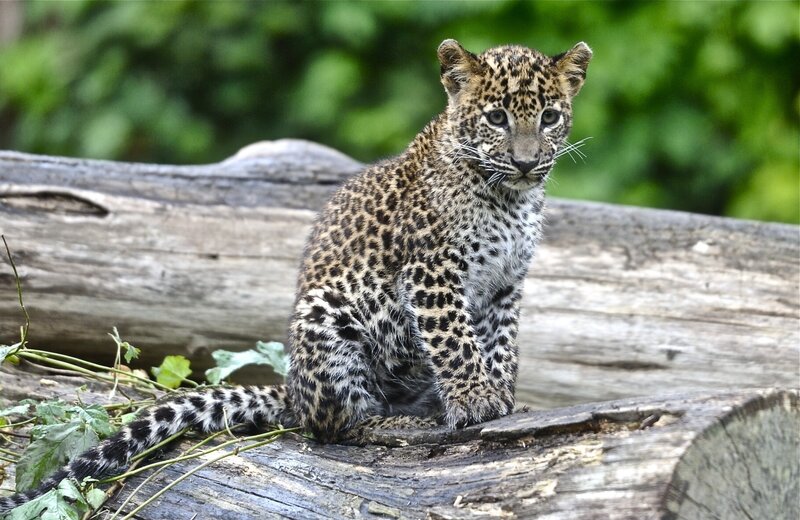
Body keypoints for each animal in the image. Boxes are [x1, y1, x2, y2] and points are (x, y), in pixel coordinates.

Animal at [0, 38, 591, 514]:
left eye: (549, 117)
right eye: (495, 118)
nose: (526, 162)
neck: (510, 199)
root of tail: (291, 389)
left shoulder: (506, 283)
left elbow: (500, 345)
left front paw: (505, 397)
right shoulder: (433, 272)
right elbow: (456, 341)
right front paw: (476, 399)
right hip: (326, 321)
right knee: (332, 427)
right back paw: (399, 424)